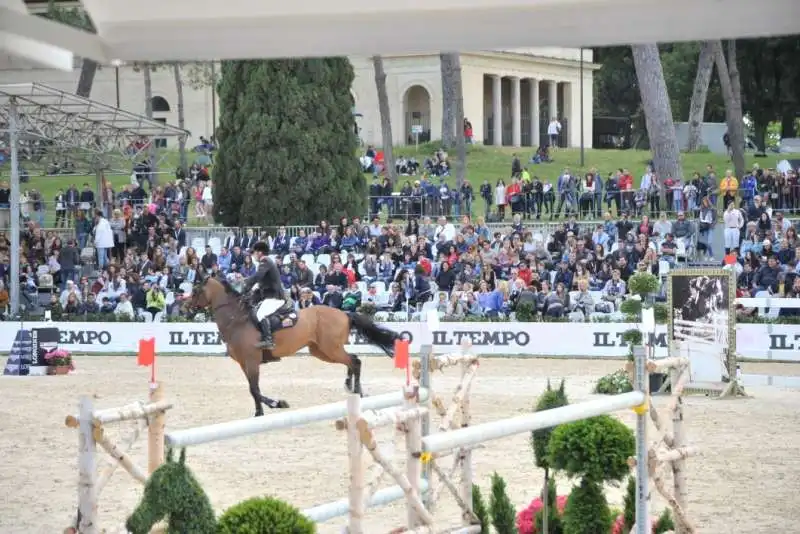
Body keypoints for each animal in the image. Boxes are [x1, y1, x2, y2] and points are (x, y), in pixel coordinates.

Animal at [188, 276, 400, 418]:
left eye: (196, 290)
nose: (187, 309)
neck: (236, 320)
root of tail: (344, 313)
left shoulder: (252, 360)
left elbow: (255, 389)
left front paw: (275, 404)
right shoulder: (244, 363)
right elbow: (253, 389)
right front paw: (261, 410)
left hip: (330, 349)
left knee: (354, 361)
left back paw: (356, 390)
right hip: (321, 351)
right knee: (352, 361)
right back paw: (354, 388)